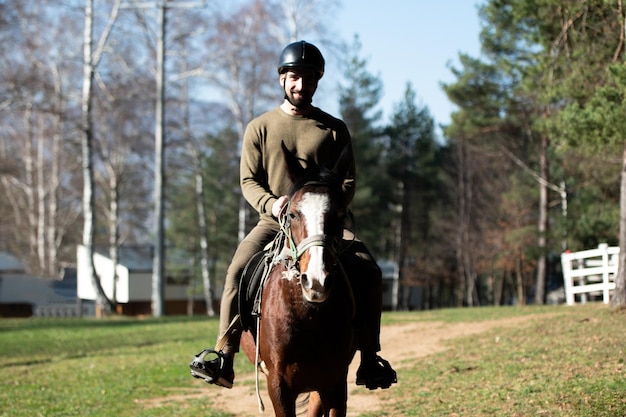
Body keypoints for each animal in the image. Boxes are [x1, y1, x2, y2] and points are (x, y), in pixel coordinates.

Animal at [239, 144, 356, 416]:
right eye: (292, 214)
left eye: (339, 214)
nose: (316, 281)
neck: (308, 314)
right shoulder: (278, 385)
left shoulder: (336, 382)